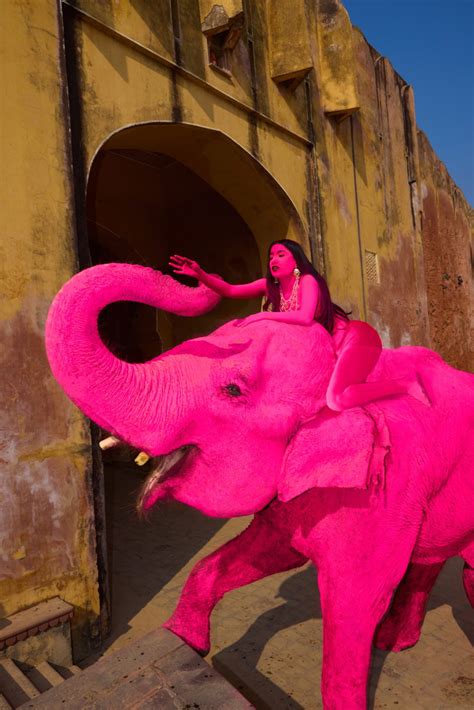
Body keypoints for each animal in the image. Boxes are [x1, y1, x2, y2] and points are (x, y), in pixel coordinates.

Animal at [45, 263, 474, 709]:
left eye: (233, 389)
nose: (191, 276)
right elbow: (259, 553)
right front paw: (183, 640)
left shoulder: (383, 491)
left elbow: (355, 603)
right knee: (429, 561)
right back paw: (394, 643)